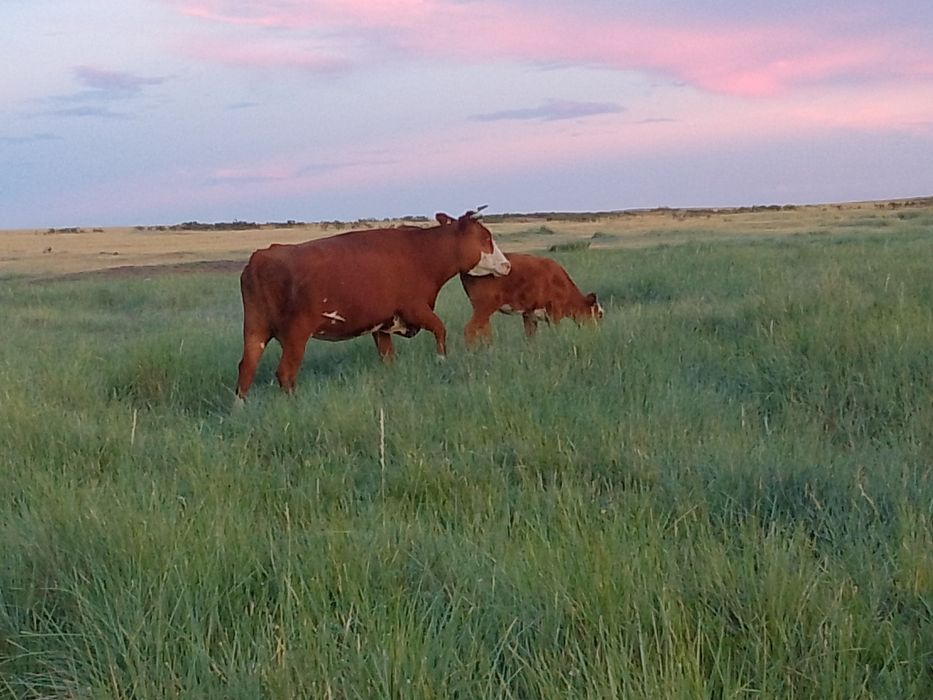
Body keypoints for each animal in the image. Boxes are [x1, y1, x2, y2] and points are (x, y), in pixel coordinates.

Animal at [235, 210, 511, 399]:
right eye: (486, 238)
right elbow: (440, 330)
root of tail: (262, 256)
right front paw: (441, 361)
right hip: (296, 335)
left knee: (246, 368)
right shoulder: (415, 308)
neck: (422, 253)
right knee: (285, 372)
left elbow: (388, 357)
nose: (507, 265)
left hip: (255, 331)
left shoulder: (382, 325)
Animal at [459, 252, 603, 346]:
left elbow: (530, 337)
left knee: (484, 329)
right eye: (599, 314)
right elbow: (557, 332)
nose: (597, 333)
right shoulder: (554, 312)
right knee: (469, 329)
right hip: (485, 306)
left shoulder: (529, 314)